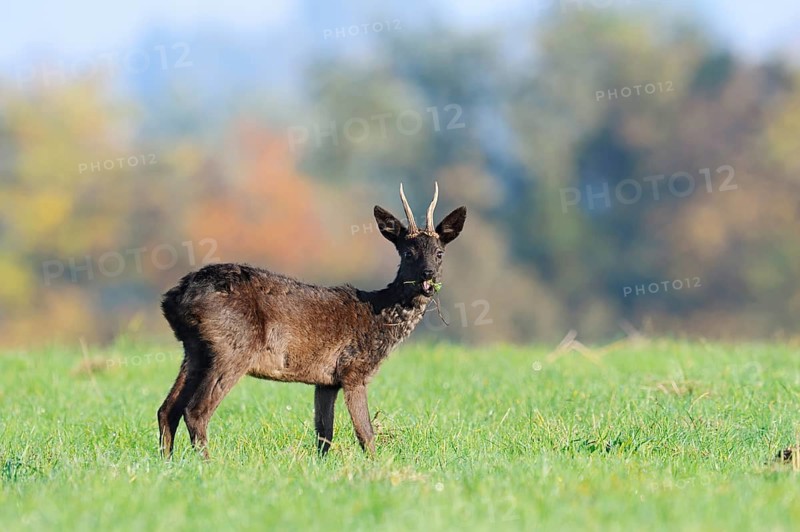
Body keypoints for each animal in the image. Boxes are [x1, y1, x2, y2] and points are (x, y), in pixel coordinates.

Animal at [157, 183, 466, 458]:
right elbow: (365, 434)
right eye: (408, 252)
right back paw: (207, 464)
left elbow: (324, 435)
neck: (379, 317)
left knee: (167, 409)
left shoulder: (326, 380)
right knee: (195, 411)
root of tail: (172, 298)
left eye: (439, 253)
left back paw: (169, 463)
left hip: (194, 350)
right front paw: (376, 468)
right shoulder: (354, 369)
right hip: (231, 348)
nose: (428, 275)